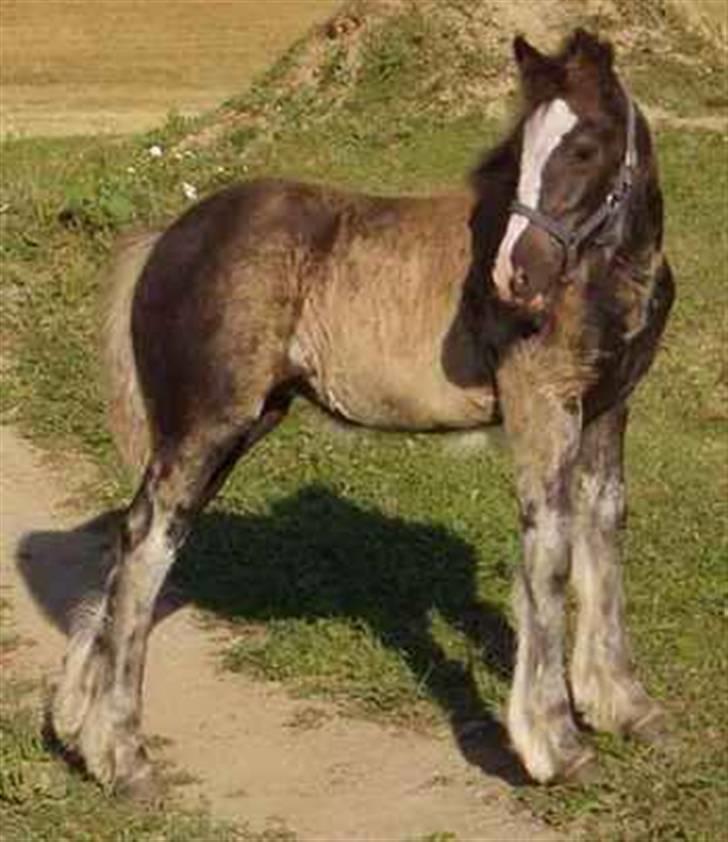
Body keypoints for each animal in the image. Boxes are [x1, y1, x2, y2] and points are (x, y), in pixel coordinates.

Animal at [54, 27, 672, 788]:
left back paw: (78, 724)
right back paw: (123, 754)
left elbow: (603, 526)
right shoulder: (542, 407)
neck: (605, 280)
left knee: (142, 533)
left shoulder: (609, 408)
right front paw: (555, 743)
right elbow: (550, 548)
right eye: (520, 147)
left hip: (238, 423)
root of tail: (168, 237)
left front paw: (624, 705)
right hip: (206, 424)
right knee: (147, 541)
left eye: (584, 146)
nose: (514, 277)